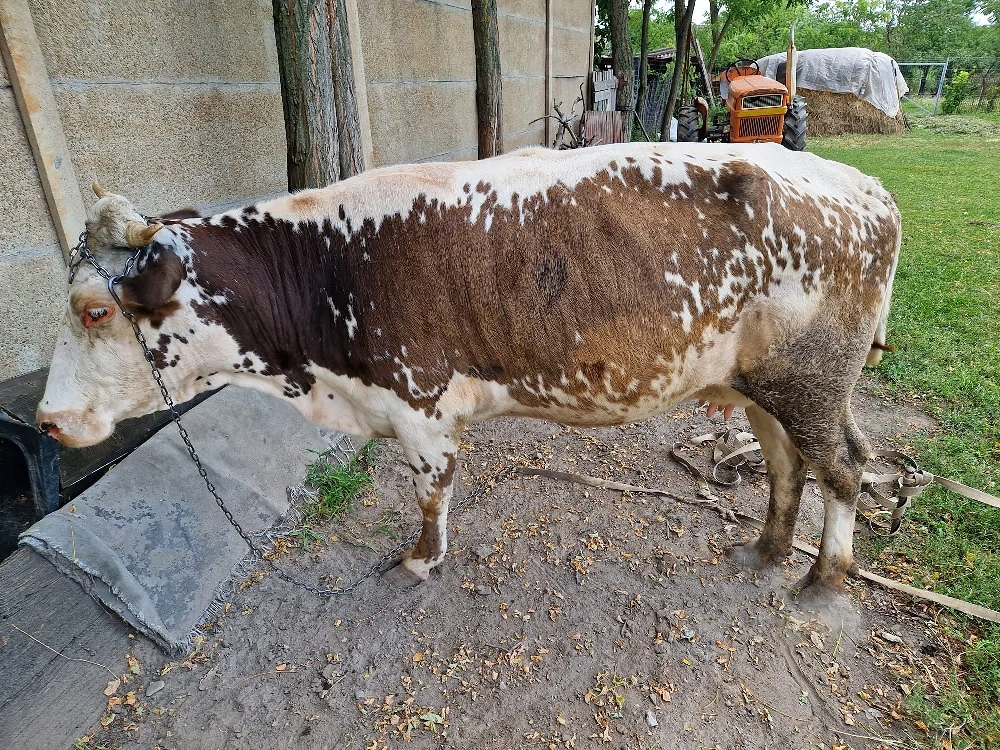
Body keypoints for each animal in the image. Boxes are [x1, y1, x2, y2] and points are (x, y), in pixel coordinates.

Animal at [36, 142, 901, 595]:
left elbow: (431, 493)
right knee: (788, 464)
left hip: (812, 381)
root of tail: (862, 184)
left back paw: (825, 576)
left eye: (94, 310)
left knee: (846, 466)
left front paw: (421, 560)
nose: (46, 420)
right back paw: (766, 550)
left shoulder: (419, 407)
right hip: (767, 385)